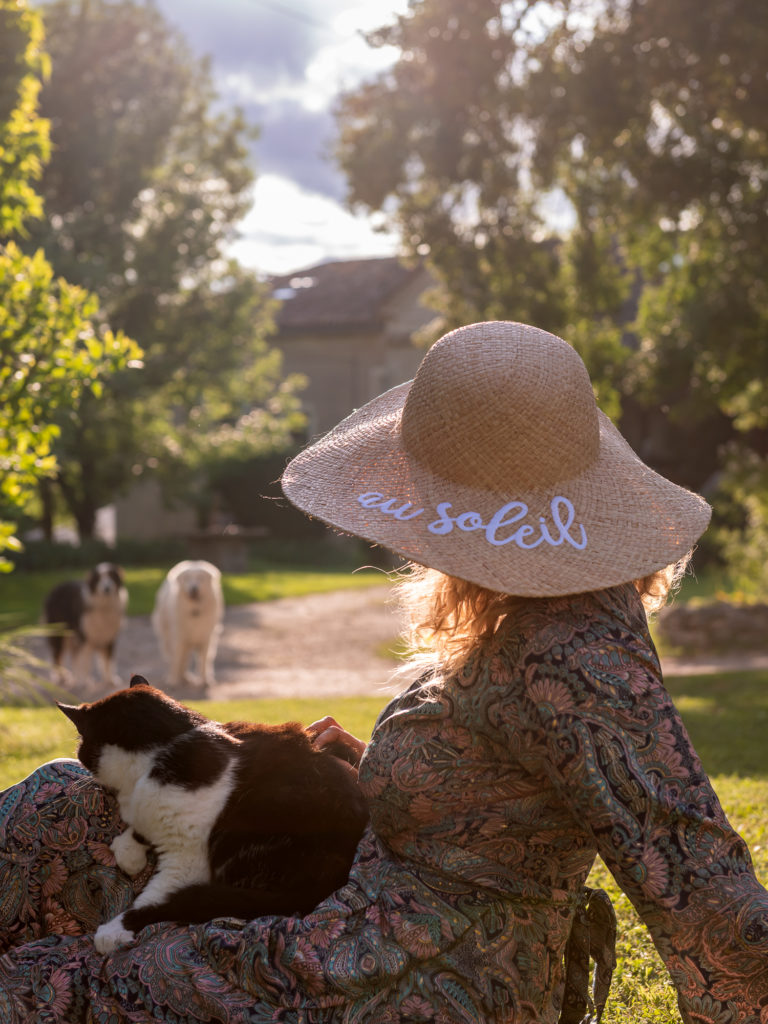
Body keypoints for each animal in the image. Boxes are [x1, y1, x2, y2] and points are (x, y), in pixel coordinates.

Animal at [57, 675, 370, 954]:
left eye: (82, 747)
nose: (80, 755)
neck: (165, 747)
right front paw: (128, 851)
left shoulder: (186, 861)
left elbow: (157, 900)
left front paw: (114, 930)